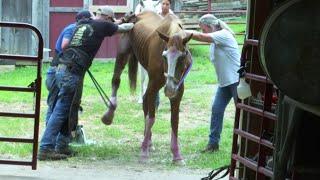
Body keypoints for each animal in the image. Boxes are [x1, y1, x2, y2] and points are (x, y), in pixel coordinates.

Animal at [102, 11, 192, 165]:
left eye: (182, 56)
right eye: (164, 56)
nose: (169, 89)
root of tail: (136, 16)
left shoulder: (178, 91)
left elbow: (174, 121)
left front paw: (177, 155)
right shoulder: (154, 86)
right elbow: (151, 118)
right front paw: (144, 152)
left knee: (144, 101)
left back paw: (148, 141)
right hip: (123, 54)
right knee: (116, 81)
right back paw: (109, 114)